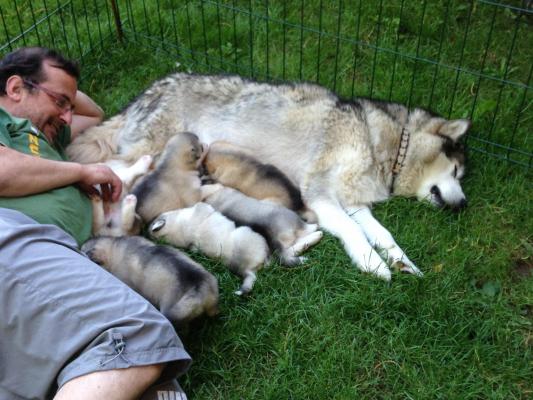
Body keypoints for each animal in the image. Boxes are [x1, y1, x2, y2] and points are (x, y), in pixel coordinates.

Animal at [67, 75, 470, 282]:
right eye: (456, 172)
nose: (464, 204)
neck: (385, 144)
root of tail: (151, 88)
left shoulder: (355, 203)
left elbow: (383, 234)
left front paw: (402, 262)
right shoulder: (321, 195)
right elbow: (354, 233)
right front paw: (373, 264)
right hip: (147, 150)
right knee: (109, 171)